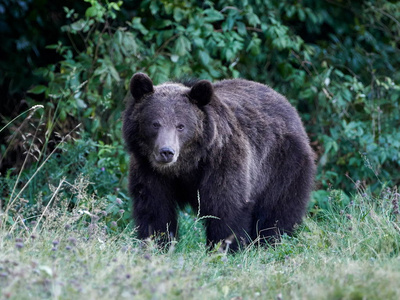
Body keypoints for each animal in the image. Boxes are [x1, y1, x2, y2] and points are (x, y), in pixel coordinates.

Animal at [122, 73, 316, 251]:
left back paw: (270, 243)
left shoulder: (223, 162)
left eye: (180, 126)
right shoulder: (149, 170)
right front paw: (156, 244)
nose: (167, 152)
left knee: (278, 208)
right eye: (155, 124)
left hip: (282, 164)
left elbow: (225, 206)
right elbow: (154, 210)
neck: (187, 166)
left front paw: (225, 247)